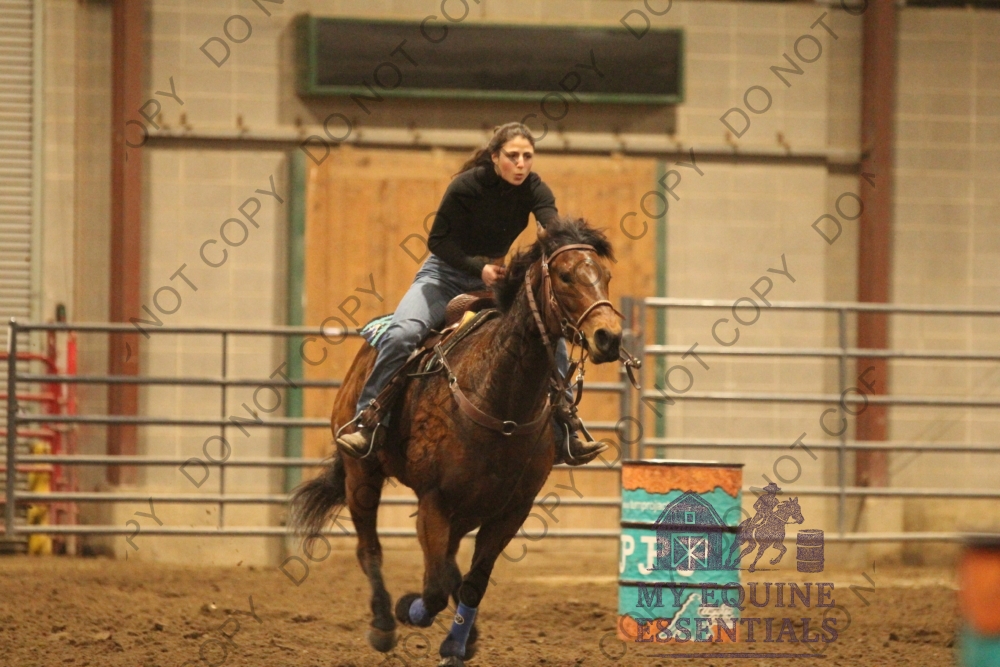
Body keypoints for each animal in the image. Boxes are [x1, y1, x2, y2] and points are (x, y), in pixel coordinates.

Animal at [288, 218, 623, 667]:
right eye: (566, 276)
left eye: (605, 276)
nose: (609, 337)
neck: (499, 399)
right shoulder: (435, 501)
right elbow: (433, 588)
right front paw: (409, 610)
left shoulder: (510, 511)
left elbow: (471, 582)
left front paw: (456, 645)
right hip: (362, 474)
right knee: (370, 549)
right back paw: (384, 623)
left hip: (467, 509)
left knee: (447, 566)